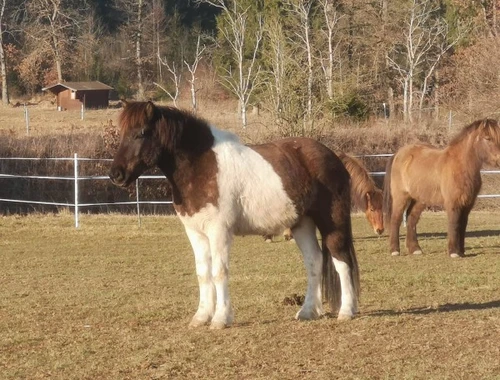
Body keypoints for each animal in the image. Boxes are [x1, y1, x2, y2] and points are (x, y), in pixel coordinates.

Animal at [109, 101, 360, 330]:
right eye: (122, 133)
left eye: (141, 133)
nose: (116, 175)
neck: (202, 167)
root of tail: (334, 156)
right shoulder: (195, 232)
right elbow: (203, 273)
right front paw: (201, 317)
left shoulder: (218, 231)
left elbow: (219, 272)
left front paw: (220, 319)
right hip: (302, 223)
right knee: (314, 261)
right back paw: (308, 311)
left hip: (332, 222)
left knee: (341, 260)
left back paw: (346, 311)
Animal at [384, 119, 500, 258]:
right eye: (488, 138)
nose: (499, 160)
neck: (461, 166)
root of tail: (399, 153)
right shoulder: (452, 203)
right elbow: (454, 224)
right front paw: (454, 252)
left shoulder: (467, 204)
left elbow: (462, 225)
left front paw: (461, 252)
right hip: (401, 197)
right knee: (395, 219)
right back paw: (394, 250)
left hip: (420, 200)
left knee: (411, 219)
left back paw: (415, 249)